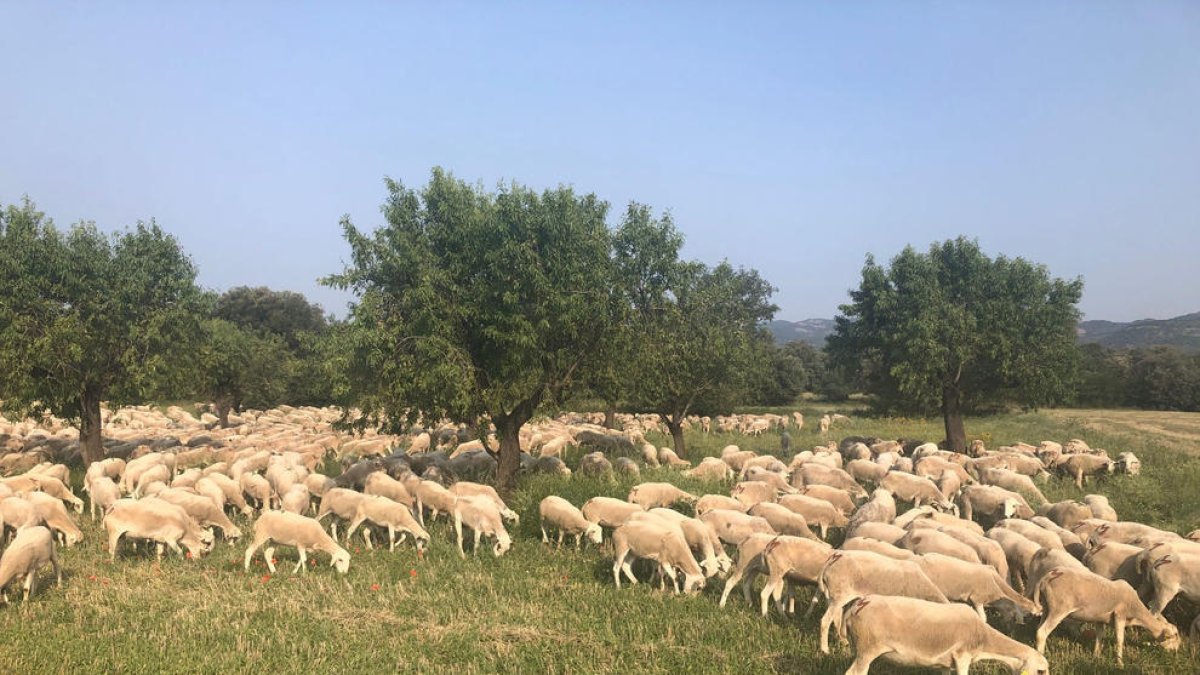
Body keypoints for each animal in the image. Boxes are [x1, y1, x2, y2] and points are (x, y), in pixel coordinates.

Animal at [816, 547, 945, 653]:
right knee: (825, 620)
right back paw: (825, 649)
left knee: (836, 619)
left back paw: (843, 642)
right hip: (840, 594)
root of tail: (833, 559)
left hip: (833, 596)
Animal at [835, 593, 1051, 672]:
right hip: (867, 649)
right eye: (1040, 671)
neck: (984, 640)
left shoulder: (947, 664)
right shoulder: (963, 657)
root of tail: (856, 605)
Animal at [1032, 562, 1180, 662]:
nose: (1176, 654)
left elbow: (1099, 637)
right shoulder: (1120, 615)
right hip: (1059, 609)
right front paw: (1120, 662)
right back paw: (1042, 656)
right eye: (1175, 637)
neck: (1137, 613)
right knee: (1042, 632)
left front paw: (1096, 657)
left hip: (1047, 608)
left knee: (1038, 629)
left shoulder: (1100, 619)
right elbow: (1120, 639)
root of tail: (1046, 578)